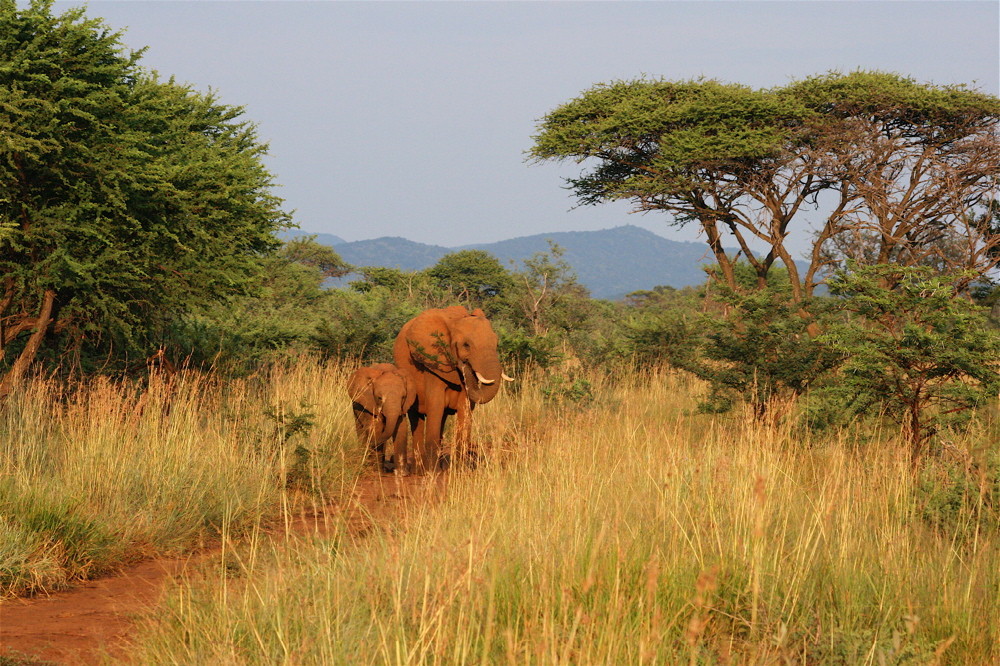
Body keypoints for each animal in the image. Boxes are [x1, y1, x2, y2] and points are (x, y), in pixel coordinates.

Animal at [392, 306, 512, 472]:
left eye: (496, 343)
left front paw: (461, 469)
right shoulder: (432, 365)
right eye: (466, 345)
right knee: (417, 417)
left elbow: (465, 408)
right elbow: (435, 406)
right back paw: (420, 470)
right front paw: (432, 472)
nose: (463, 364)